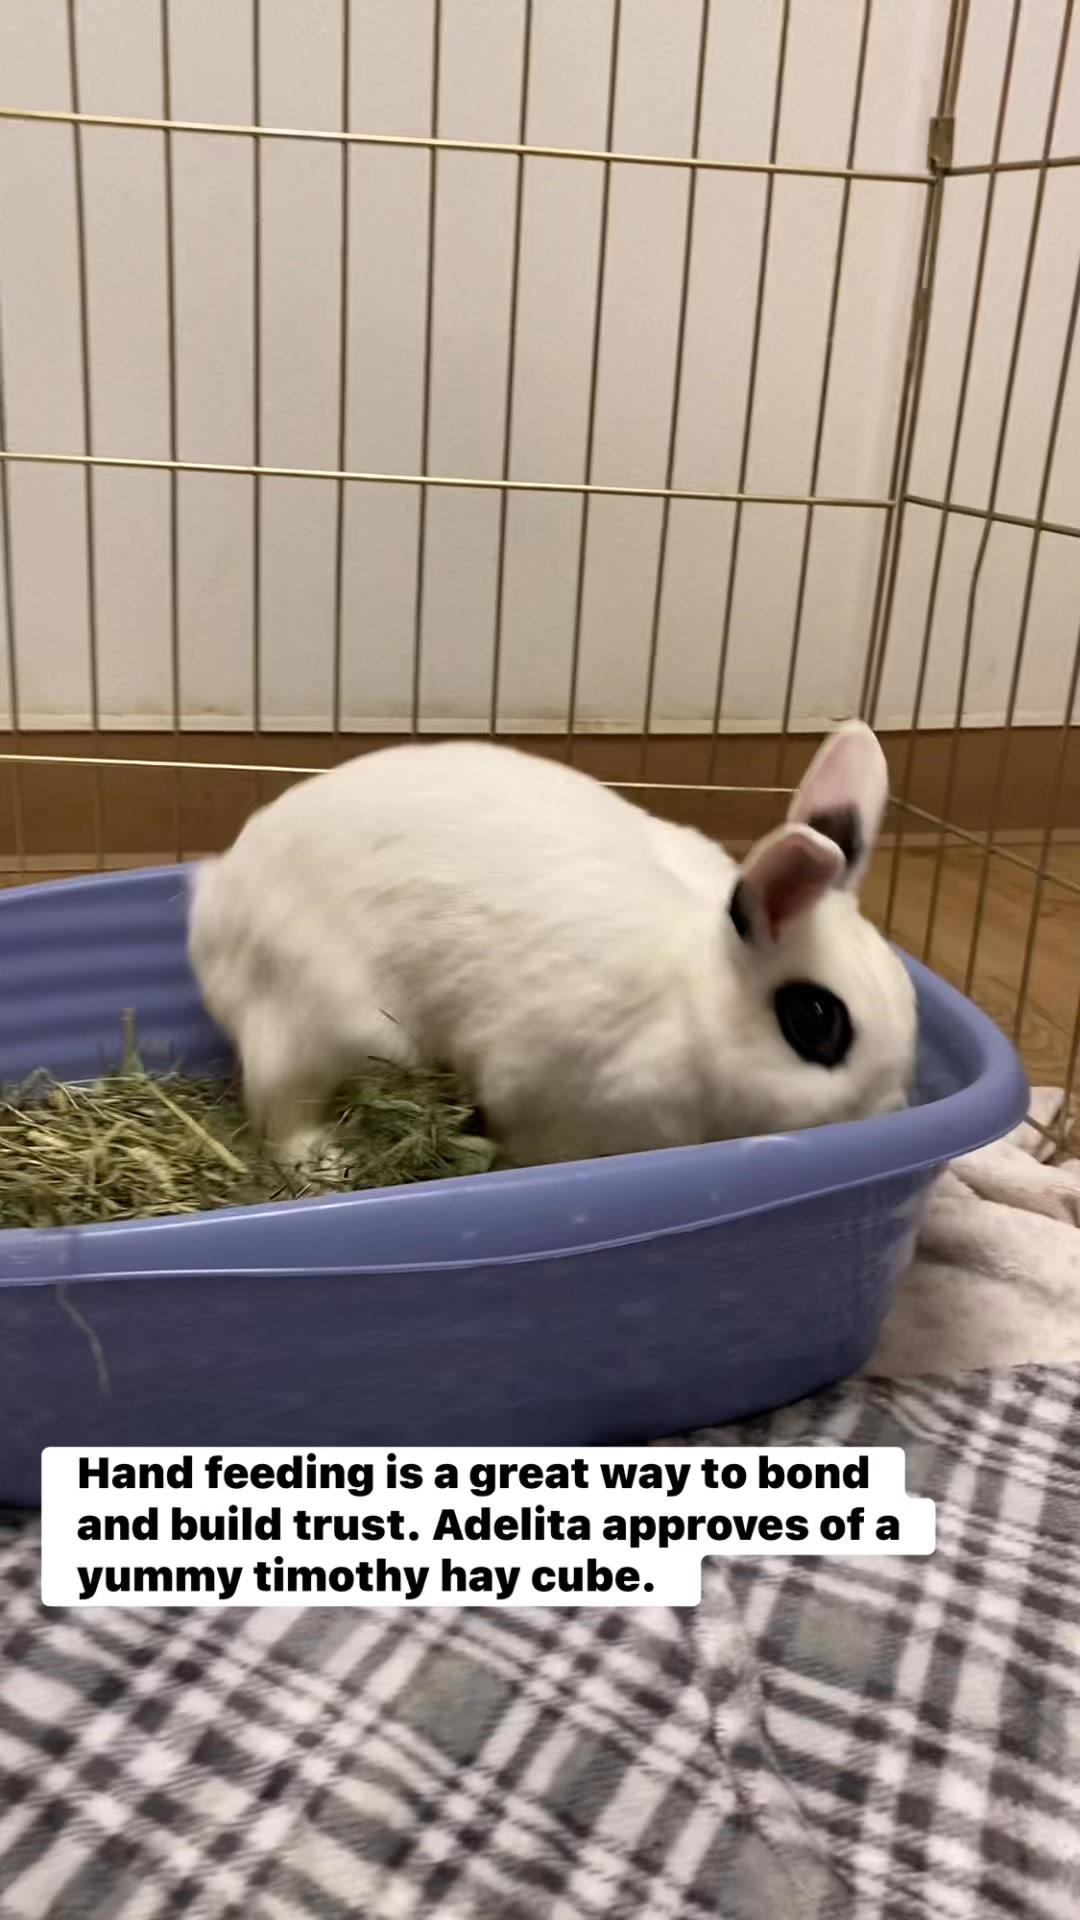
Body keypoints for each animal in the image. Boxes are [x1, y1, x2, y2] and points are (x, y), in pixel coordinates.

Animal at [188, 719, 918, 1172]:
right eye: (816, 1020)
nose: (888, 1113)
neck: (691, 1008)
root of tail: (215, 899)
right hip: (331, 1025)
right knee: (283, 1112)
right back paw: (328, 1163)